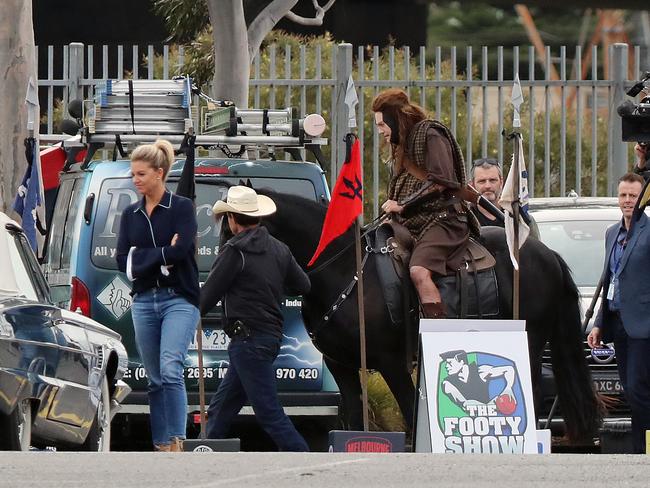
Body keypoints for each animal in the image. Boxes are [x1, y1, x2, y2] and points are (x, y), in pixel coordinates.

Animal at [256, 191, 596, 442]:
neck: (346, 271)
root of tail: (546, 253)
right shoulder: (340, 365)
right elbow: (352, 418)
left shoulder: (391, 362)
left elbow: (409, 411)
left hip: (532, 344)